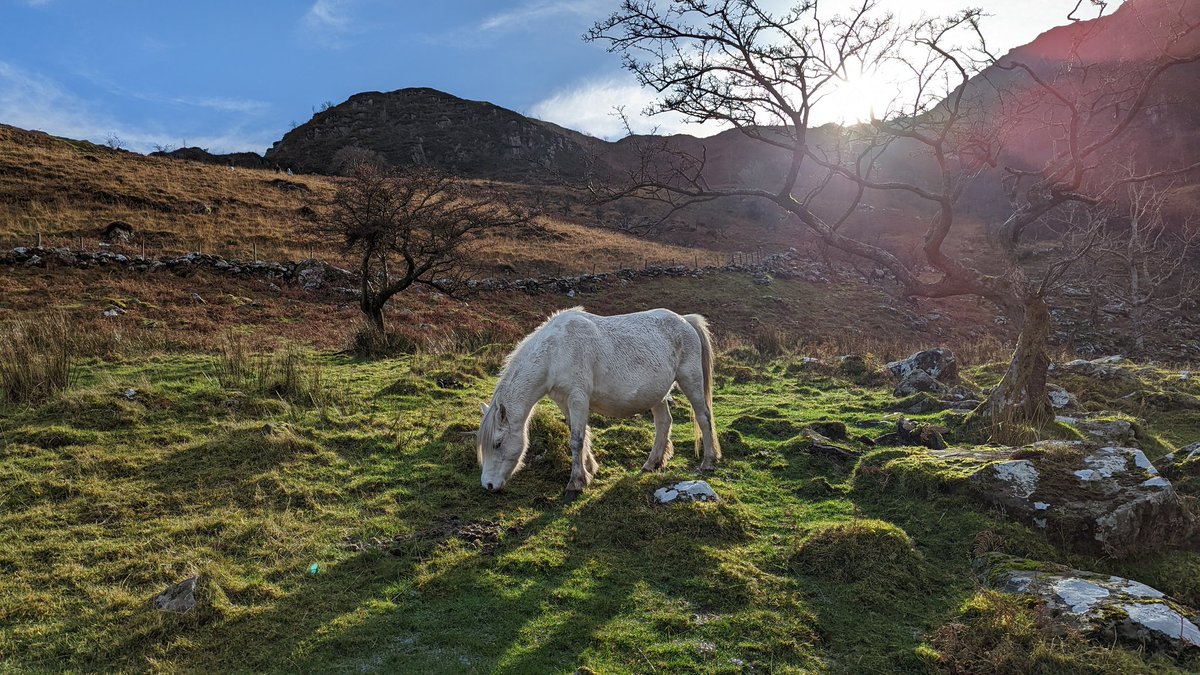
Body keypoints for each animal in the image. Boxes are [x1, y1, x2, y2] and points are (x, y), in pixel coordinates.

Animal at [475, 307, 720, 492]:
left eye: (497, 443)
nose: (488, 485)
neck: (555, 352)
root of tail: (685, 321)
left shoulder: (578, 398)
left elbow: (576, 439)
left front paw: (576, 483)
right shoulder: (564, 401)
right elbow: (578, 433)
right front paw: (590, 469)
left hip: (690, 380)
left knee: (703, 417)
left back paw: (708, 462)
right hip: (657, 394)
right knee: (663, 423)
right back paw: (651, 464)